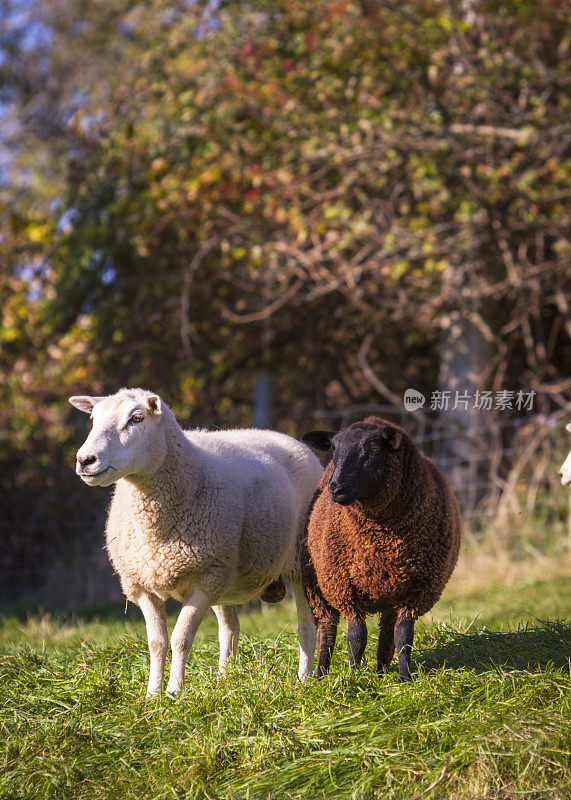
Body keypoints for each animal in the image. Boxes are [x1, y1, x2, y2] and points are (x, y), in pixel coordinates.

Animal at [69, 388, 324, 692]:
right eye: (93, 419)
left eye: (137, 418)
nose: (85, 460)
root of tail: (285, 437)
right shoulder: (141, 584)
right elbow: (156, 643)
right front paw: (152, 694)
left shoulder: (205, 579)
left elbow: (181, 639)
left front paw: (174, 692)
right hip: (225, 576)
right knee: (230, 628)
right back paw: (225, 679)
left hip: (299, 562)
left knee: (306, 626)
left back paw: (304, 680)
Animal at [302, 418, 462, 680]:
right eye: (334, 449)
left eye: (375, 448)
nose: (336, 488)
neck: (382, 540)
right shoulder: (345, 588)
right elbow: (357, 637)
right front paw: (354, 677)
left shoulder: (419, 589)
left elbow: (403, 636)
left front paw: (405, 678)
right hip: (318, 583)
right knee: (327, 628)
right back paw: (319, 676)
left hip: (392, 592)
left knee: (388, 632)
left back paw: (381, 673)